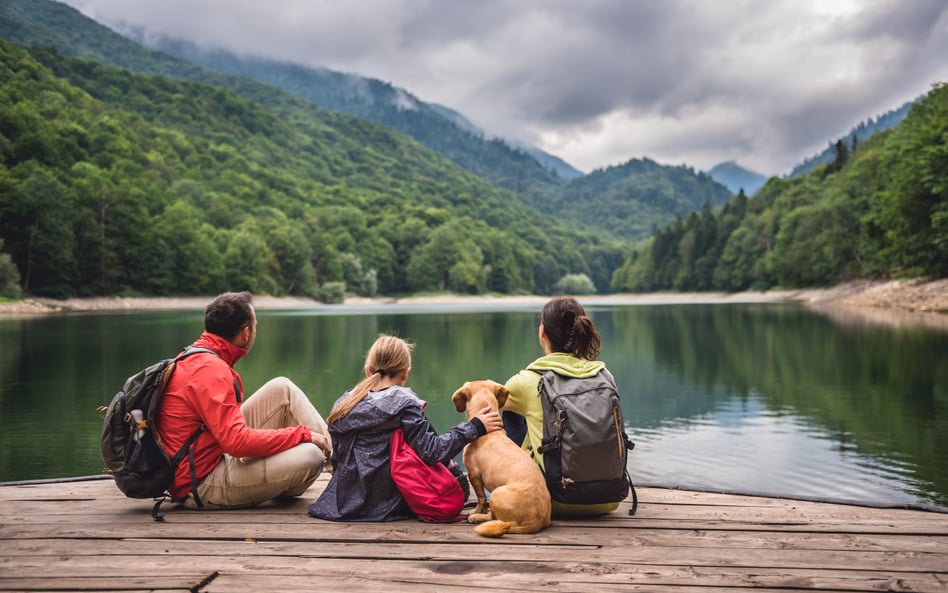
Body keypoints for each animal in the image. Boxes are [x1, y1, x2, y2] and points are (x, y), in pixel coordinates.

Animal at [450, 380, 552, 536]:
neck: (489, 432)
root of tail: (535, 522)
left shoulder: (474, 474)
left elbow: (480, 498)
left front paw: (476, 511)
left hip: (496, 493)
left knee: (492, 517)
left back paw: (476, 517)